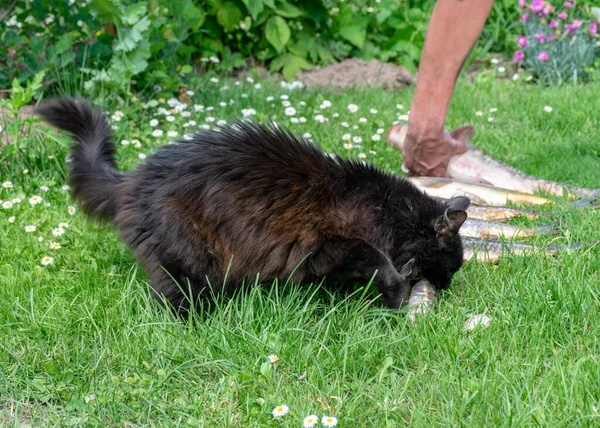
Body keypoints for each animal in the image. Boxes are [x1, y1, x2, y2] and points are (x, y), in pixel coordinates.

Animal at [36, 99, 468, 314]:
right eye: (452, 265)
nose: (445, 287)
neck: (389, 210)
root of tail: (133, 180)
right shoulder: (332, 245)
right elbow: (378, 260)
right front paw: (395, 298)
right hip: (188, 257)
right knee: (175, 296)